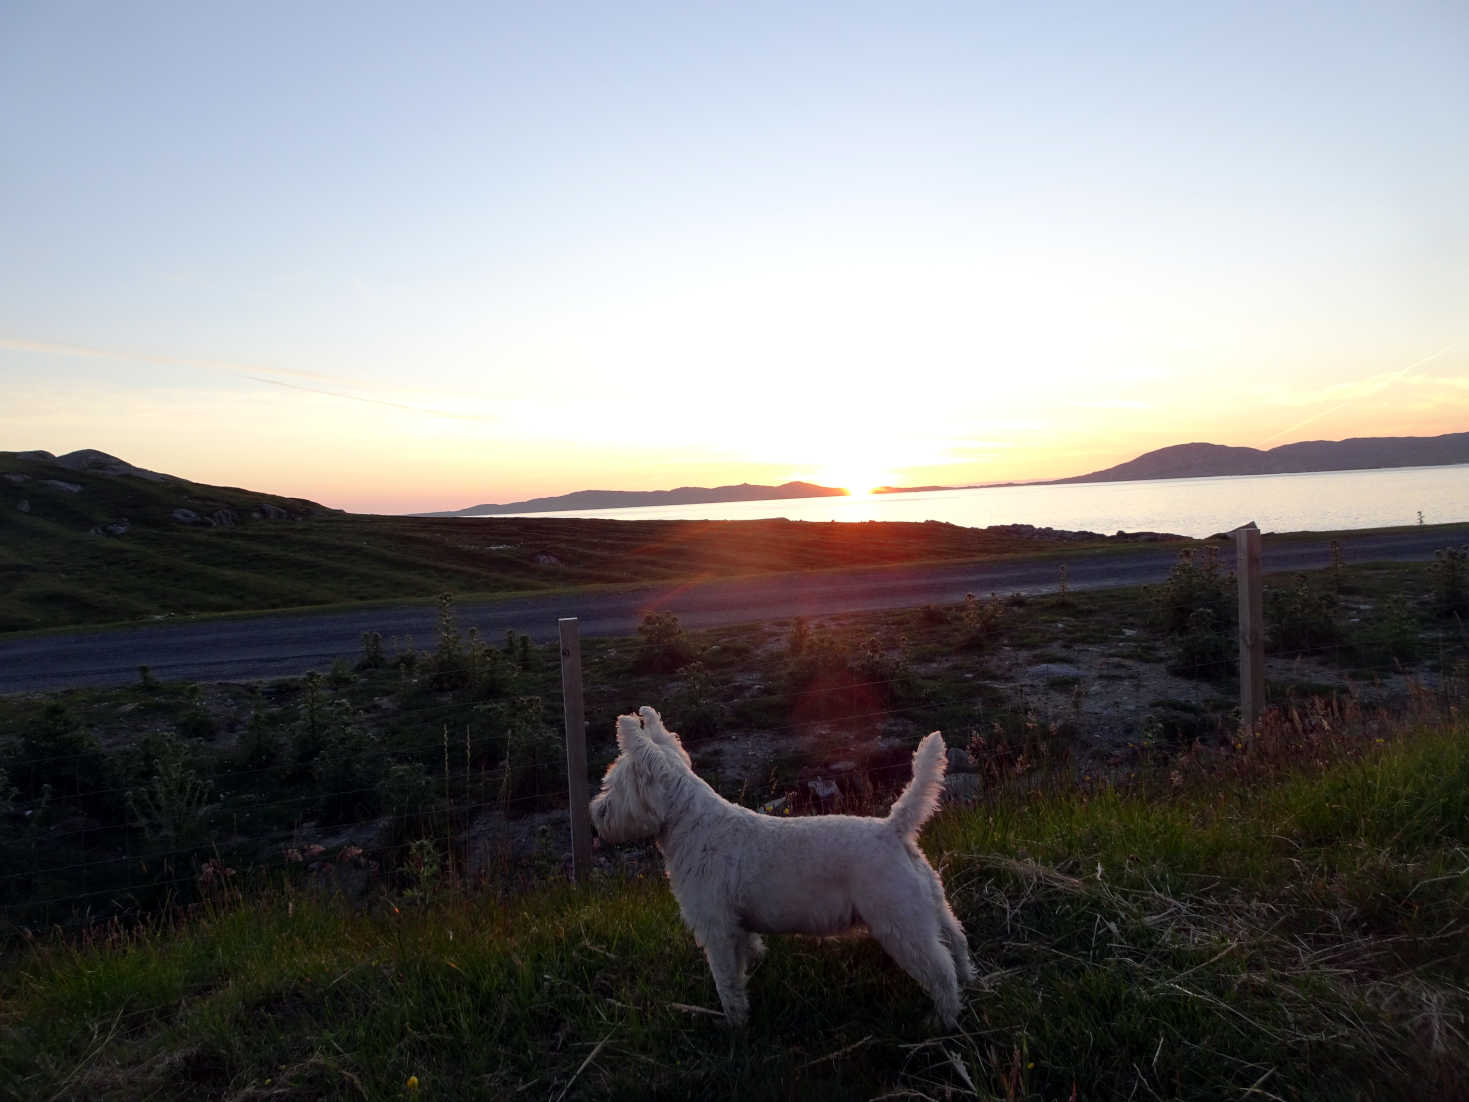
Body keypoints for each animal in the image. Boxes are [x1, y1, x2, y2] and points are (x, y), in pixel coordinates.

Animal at [584, 708, 975, 1028]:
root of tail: (894, 828)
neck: (688, 823)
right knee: (956, 938)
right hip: (928, 903)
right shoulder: (737, 923)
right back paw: (971, 979)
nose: (595, 816)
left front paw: (734, 1024)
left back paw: (943, 1019)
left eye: (613, 785)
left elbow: (726, 980)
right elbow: (747, 955)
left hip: (900, 922)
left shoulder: (715, 925)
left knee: (940, 969)